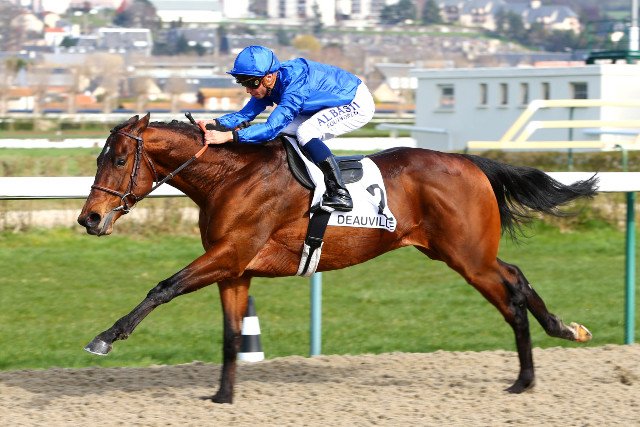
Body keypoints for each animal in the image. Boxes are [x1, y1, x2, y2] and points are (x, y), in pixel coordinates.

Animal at [77, 113, 597, 404]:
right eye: (100, 158)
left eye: (119, 160)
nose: (90, 218)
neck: (230, 176)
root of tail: (472, 162)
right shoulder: (234, 268)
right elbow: (231, 334)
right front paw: (223, 396)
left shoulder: (230, 253)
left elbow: (163, 286)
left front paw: (105, 337)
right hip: (457, 252)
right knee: (518, 278)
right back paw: (563, 332)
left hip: (468, 256)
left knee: (511, 291)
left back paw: (526, 377)